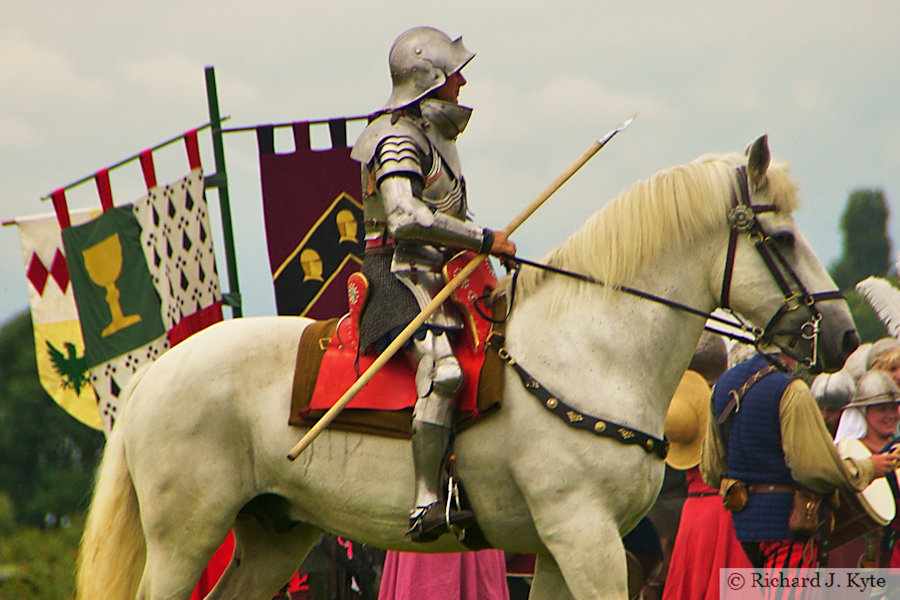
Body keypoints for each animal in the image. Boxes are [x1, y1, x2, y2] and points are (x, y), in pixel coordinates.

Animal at [77, 134, 856, 596]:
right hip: (185, 538)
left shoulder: (560, 548)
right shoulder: (585, 537)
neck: (593, 351)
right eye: (783, 236)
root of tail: (152, 377)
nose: (845, 337)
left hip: (274, 534)